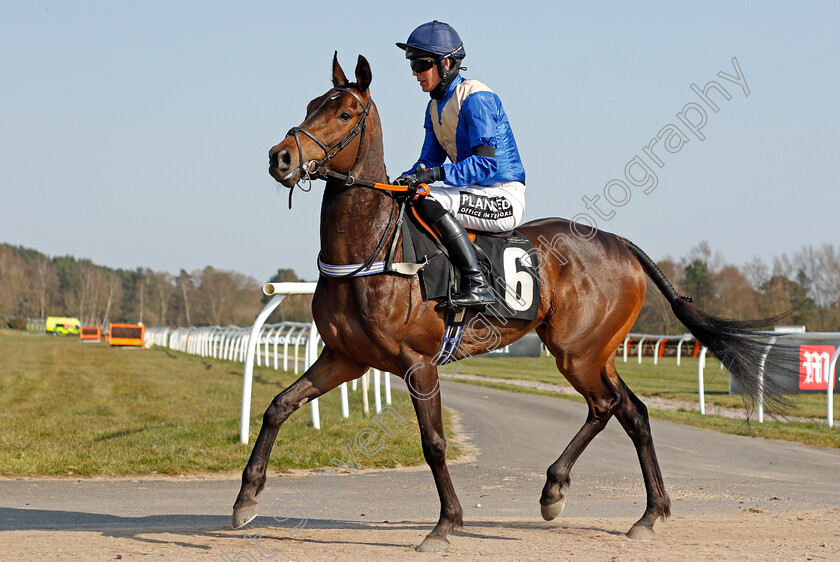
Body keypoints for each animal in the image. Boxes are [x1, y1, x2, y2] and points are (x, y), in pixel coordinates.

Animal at [235, 52, 788, 548]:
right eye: (312, 105)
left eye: (345, 113)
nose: (281, 157)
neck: (373, 248)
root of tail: (618, 241)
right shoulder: (344, 357)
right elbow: (278, 406)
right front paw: (246, 499)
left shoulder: (419, 364)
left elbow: (434, 444)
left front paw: (446, 524)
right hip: (599, 351)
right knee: (632, 411)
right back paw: (646, 514)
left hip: (577, 351)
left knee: (606, 406)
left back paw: (557, 490)